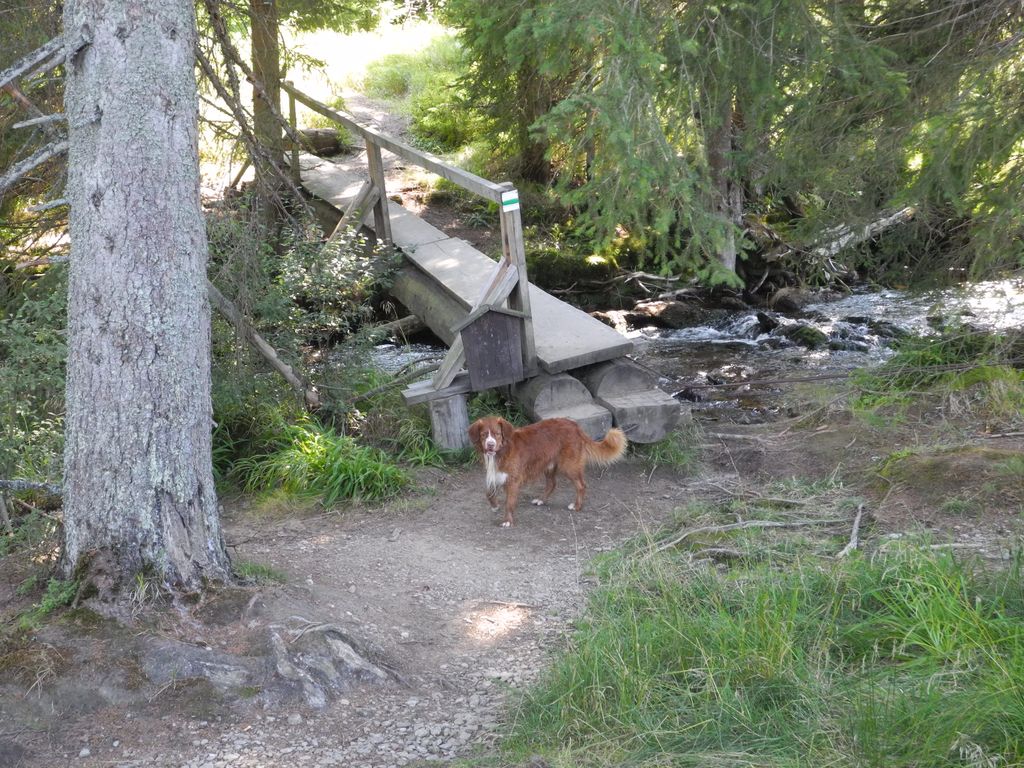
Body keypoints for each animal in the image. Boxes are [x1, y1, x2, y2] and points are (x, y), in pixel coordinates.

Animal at [468, 417, 626, 528]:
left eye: (497, 434)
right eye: (484, 435)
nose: (490, 445)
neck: (502, 451)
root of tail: (575, 426)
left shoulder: (513, 480)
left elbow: (509, 503)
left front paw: (507, 521)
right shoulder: (497, 475)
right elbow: (488, 493)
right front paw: (495, 506)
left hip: (569, 466)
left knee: (581, 485)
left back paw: (577, 506)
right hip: (549, 465)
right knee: (552, 484)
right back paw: (541, 500)